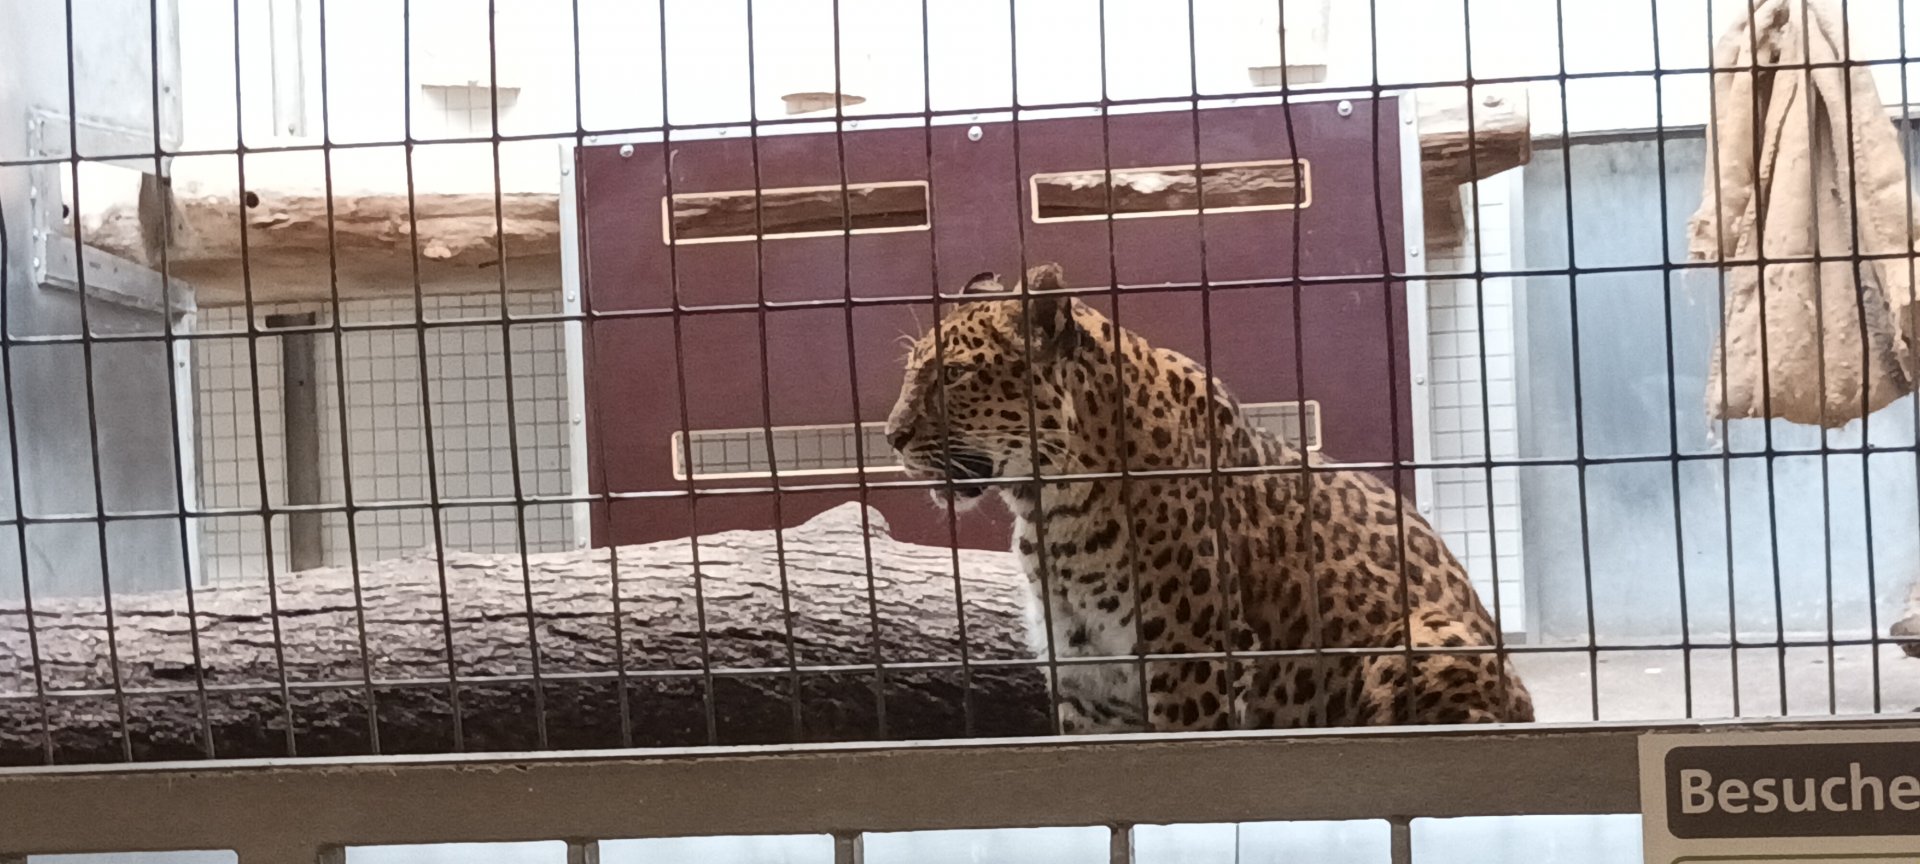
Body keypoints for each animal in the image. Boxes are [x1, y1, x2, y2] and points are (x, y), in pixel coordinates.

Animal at [884, 262, 1534, 733]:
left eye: (954, 375)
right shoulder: (1088, 681)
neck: (1050, 508)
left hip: (1430, 638)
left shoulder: (1190, 659)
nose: (891, 436)